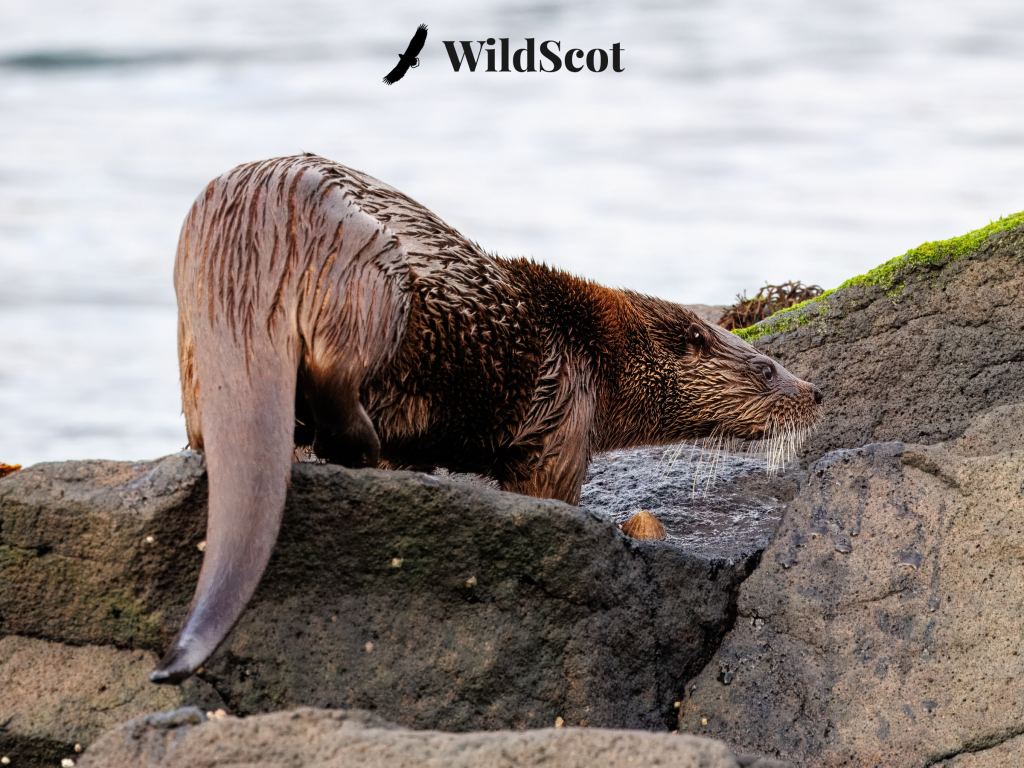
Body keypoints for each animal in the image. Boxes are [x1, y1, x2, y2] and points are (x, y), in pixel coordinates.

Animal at [152, 154, 822, 684]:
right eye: (766, 367)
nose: (814, 393)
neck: (591, 352)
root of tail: (254, 229)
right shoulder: (563, 420)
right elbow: (550, 494)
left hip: (195, 325)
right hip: (368, 279)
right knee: (336, 378)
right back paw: (361, 449)